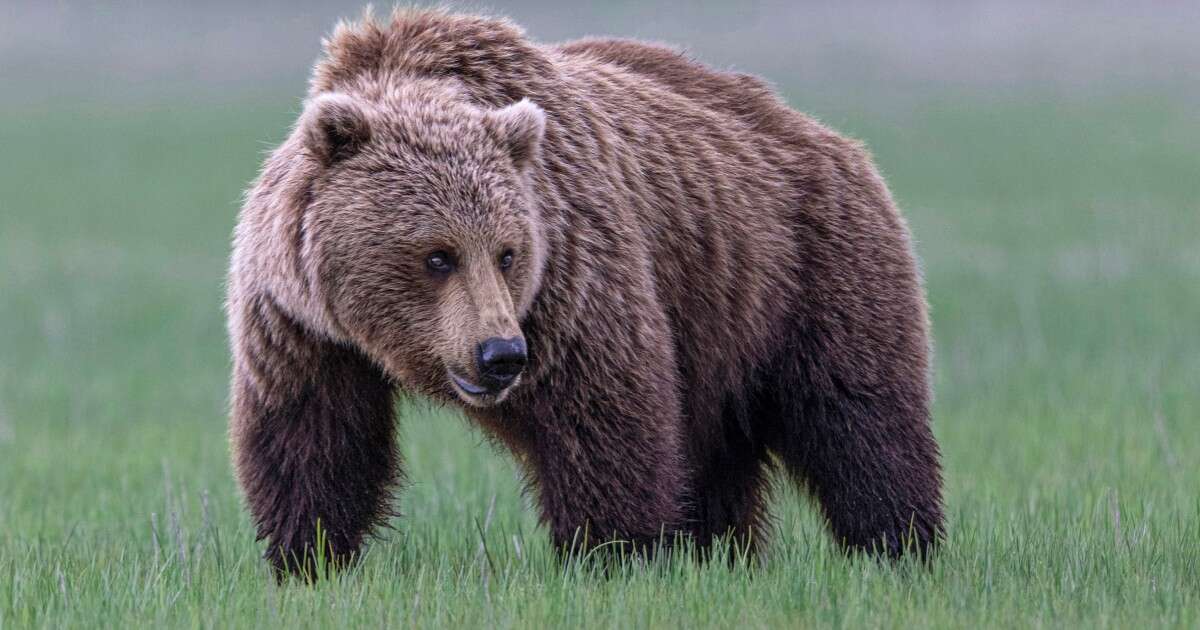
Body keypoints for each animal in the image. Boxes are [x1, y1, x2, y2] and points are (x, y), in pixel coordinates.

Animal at [226, 8, 945, 580]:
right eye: (437, 255)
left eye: (507, 252)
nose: (500, 355)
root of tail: (825, 134)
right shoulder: (301, 325)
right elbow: (314, 438)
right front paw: (306, 557)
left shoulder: (571, 278)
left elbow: (603, 414)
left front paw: (614, 553)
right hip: (719, 323)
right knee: (718, 450)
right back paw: (721, 551)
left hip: (806, 267)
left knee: (858, 417)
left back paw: (898, 545)